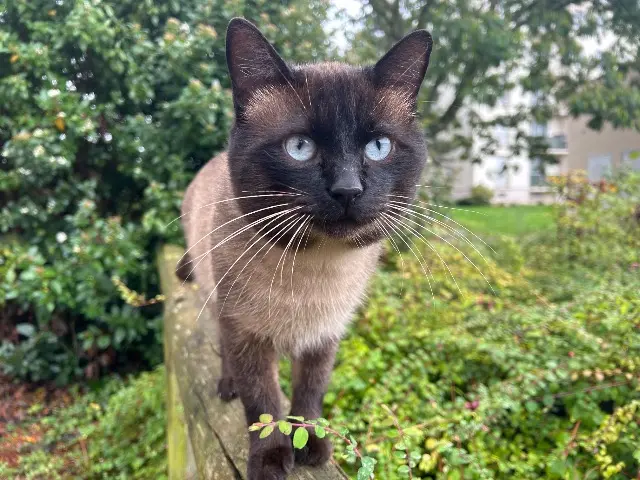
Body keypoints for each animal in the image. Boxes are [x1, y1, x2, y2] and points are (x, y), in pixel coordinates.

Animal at [178, 17, 432, 480]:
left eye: (378, 147)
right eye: (299, 147)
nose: (348, 189)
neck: (314, 268)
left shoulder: (323, 336)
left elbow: (309, 397)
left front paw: (310, 447)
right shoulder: (247, 334)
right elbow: (262, 404)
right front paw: (271, 461)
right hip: (218, 301)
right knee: (223, 348)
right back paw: (226, 385)